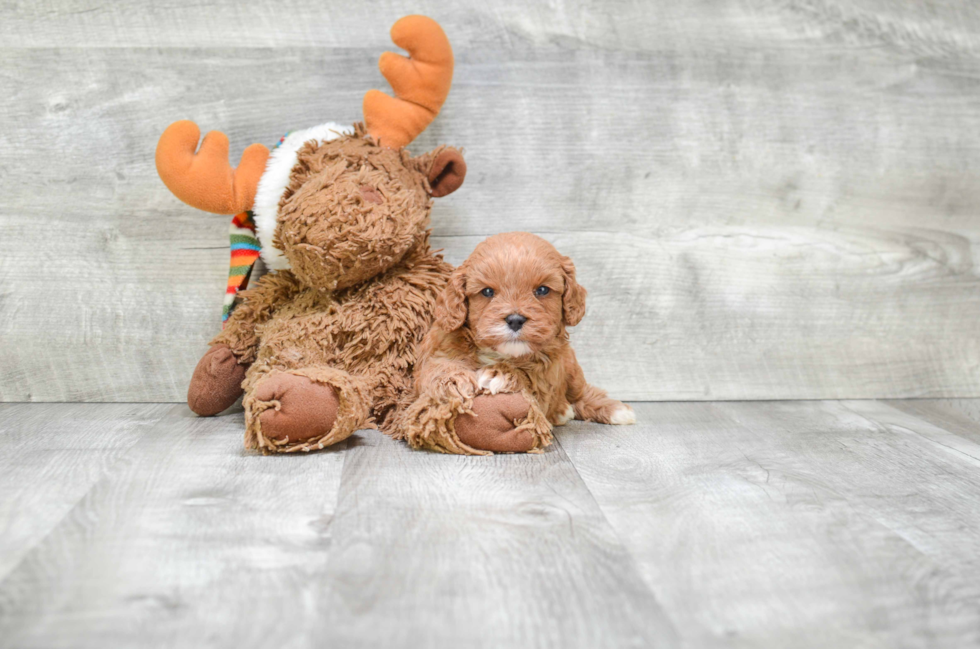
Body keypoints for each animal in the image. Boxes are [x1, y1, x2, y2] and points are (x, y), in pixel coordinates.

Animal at [396, 230, 636, 454]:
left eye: (542, 290)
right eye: (487, 292)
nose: (515, 319)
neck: (502, 353)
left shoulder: (549, 369)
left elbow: (528, 375)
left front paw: (499, 374)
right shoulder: (435, 352)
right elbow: (436, 368)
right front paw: (455, 381)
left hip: (572, 370)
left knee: (582, 393)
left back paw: (611, 410)